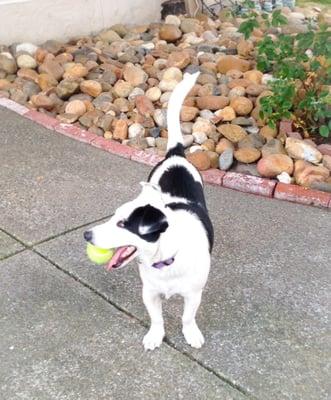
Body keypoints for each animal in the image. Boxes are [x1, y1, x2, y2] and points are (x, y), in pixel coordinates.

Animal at [84, 72, 214, 350]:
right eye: (112, 217)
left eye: (123, 224)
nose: (86, 235)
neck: (167, 257)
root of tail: (176, 154)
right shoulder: (150, 292)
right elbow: (156, 318)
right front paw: (156, 335)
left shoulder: (193, 294)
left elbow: (187, 317)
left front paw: (191, 334)